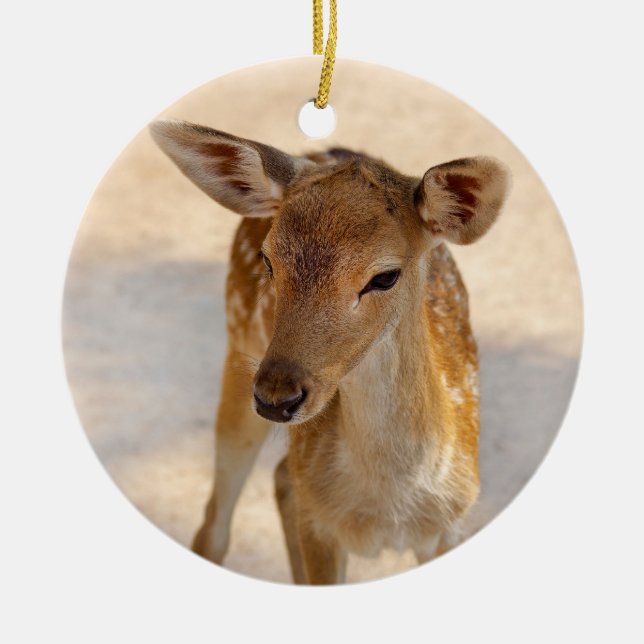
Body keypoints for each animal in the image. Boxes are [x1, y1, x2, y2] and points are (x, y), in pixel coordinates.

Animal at [150, 119, 510, 584]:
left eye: (385, 276)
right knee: (215, 524)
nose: (276, 397)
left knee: (282, 479)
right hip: (238, 348)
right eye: (268, 261)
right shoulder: (321, 527)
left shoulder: (451, 525)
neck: (387, 509)